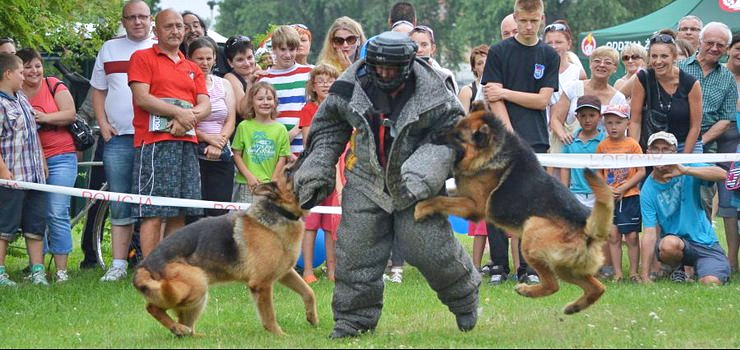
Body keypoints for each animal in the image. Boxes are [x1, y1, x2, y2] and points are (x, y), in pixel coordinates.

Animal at [133, 167, 318, 336]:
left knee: (184, 324)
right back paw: (177, 328)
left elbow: (309, 292)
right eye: (287, 172)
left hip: (197, 296)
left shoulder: (285, 273)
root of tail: (143, 265)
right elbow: (269, 317)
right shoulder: (262, 284)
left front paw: (312, 318)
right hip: (195, 286)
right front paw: (279, 336)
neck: (280, 211)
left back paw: (191, 334)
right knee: (152, 307)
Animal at [416, 110, 612, 314]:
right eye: (453, 127)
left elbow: (440, 200)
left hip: (532, 235)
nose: (431, 136)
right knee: (597, 288)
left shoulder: (474, 206)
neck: (493, 152)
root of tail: (587, 228)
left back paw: (527, 290)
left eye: (458, 136)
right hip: (564, 266)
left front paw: (421, 208)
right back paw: (574, 307)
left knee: (553, 285)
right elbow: (445, 196)